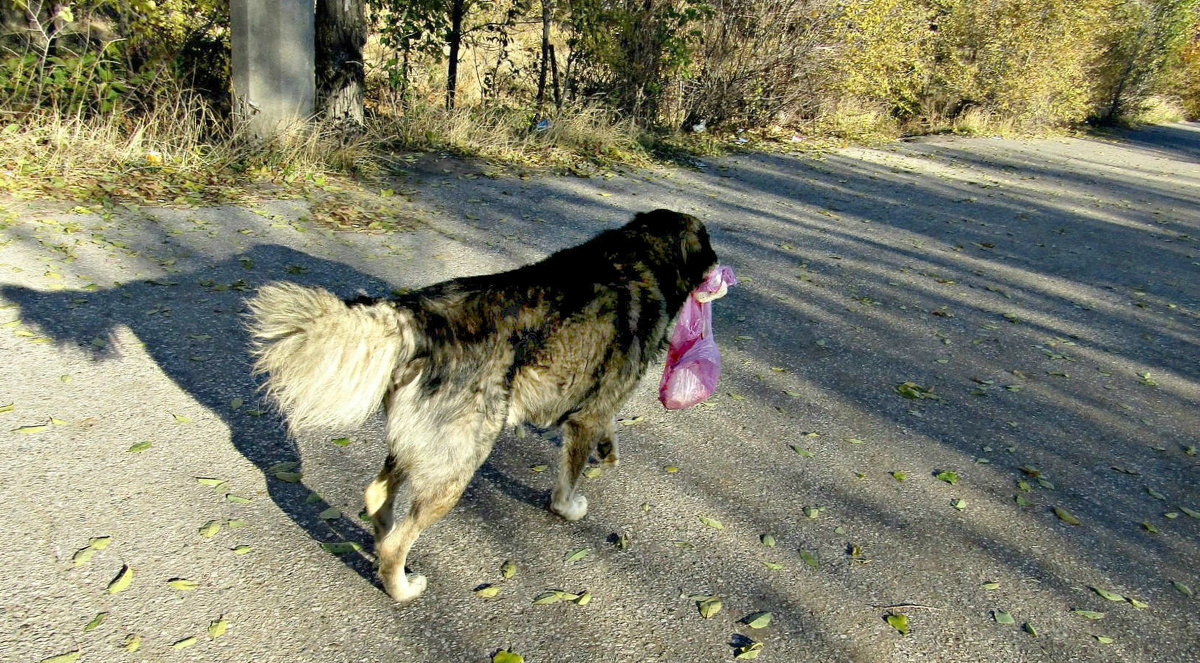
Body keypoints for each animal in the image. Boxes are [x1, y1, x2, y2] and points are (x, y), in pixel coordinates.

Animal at [242, 208, 710, 600]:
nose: (720, 272)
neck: (638, 257)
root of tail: (415, 316)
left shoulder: (596, 408)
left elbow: (607, 430)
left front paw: (608, 452)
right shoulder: (587, 416)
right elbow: (568, 480)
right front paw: (569, 506)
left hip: (423, 447)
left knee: (377, 493)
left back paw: (380, 533)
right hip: (458, 464)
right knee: (399, 542)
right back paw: (401, 588)